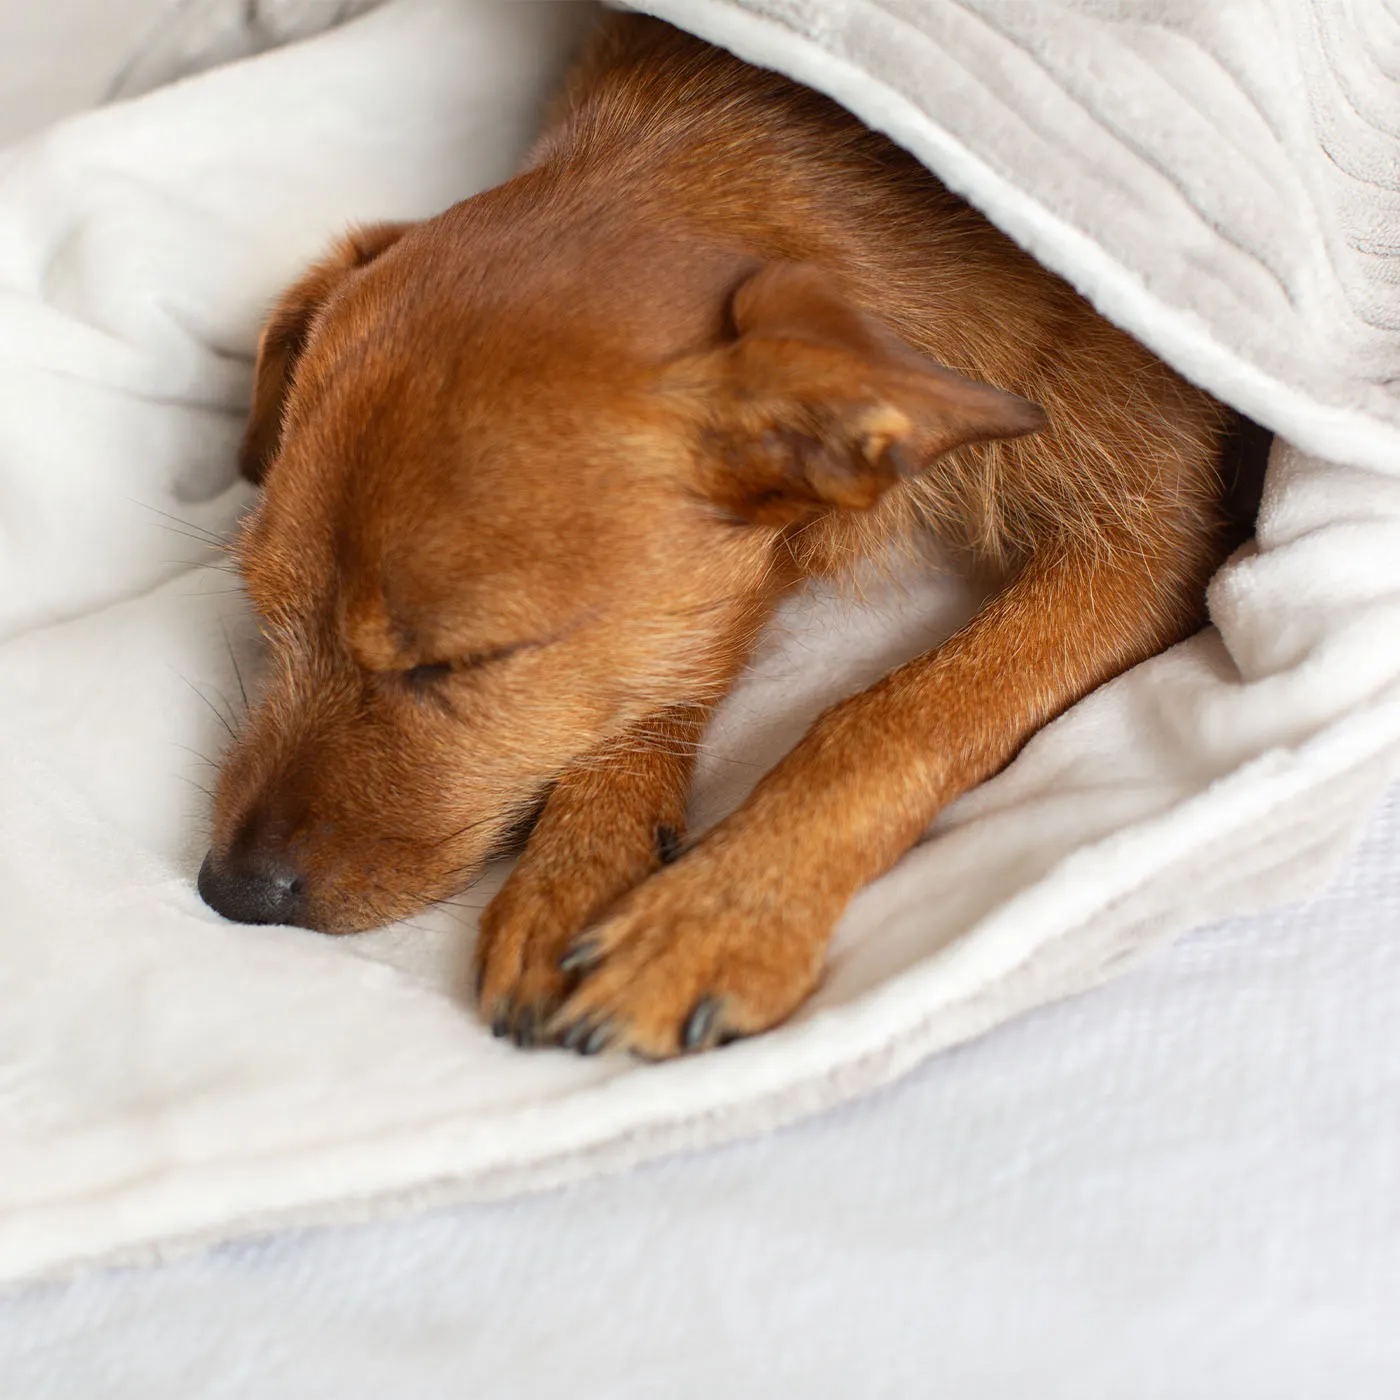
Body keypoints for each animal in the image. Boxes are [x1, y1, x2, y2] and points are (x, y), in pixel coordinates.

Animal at [194, 13, 1237, 1058]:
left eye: (458, 665)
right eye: (258, 606)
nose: (229, 892)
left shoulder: (1158, 536)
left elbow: (904, 713)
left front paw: (721, 912)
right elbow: (664, 663)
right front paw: (580, 865)